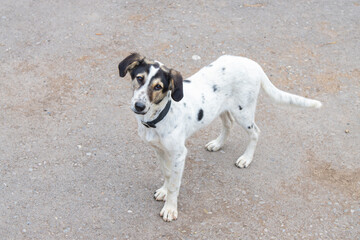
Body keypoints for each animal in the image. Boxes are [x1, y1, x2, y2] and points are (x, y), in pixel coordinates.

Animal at [119, 53, 324, 221]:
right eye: (139, 78)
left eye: (158, 86)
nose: (139, 106)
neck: (160, 115)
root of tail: (254, 64)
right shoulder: (160, 150)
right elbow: (167, 174)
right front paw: (163, 190)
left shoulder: (179, 154)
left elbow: (174, 184)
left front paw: (170, 208)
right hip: (223, 108)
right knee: (228, 124)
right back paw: (217, 144)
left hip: (243, 112)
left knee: (256, 132)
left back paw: (246, 158)